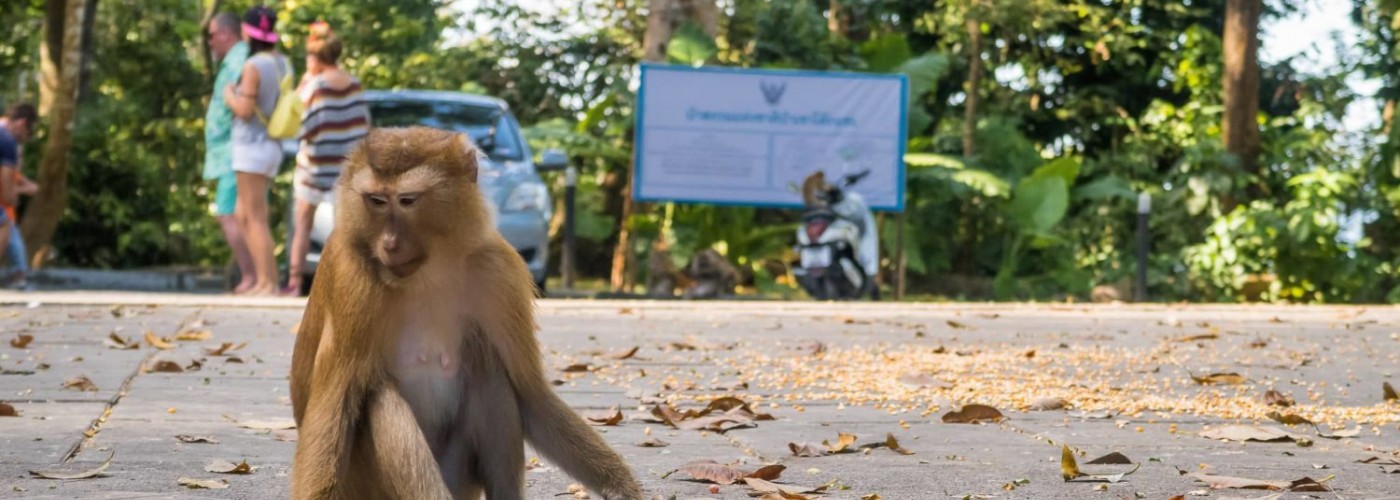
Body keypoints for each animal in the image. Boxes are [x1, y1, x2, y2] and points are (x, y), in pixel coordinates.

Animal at [294, 127, 644, 498]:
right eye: (376, 200)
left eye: (407, 200)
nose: (389, 244)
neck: (429, 272)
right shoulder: (352, 279)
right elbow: (334, 406)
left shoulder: (498, 272)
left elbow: (531, 394)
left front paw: (619, 487)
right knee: (378, 396)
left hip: (459, 477)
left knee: (488, 368)